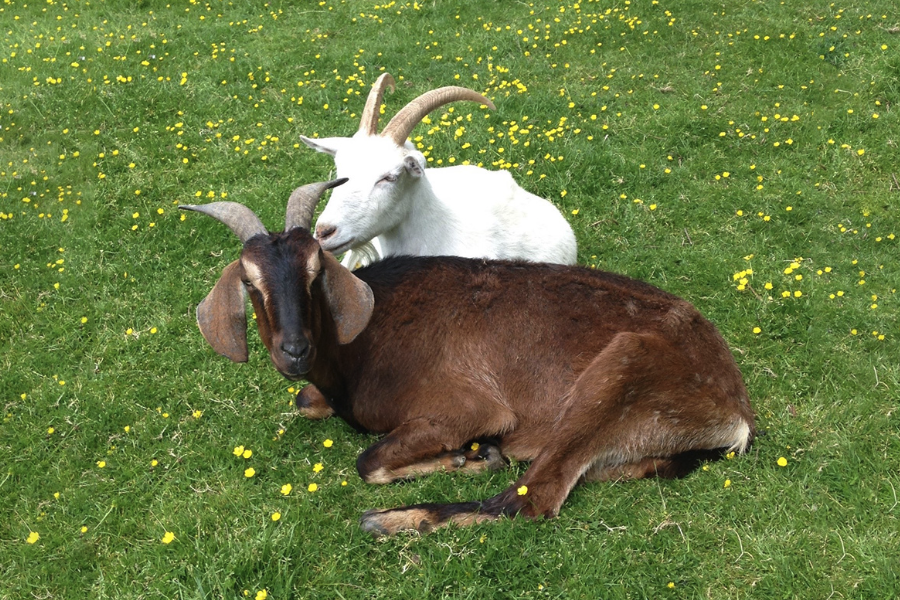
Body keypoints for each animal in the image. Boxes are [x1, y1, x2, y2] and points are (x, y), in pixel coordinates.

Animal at [181, 180, 752, 536]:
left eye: (315, 270)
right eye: (249, 281)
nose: (295, 350)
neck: (359, 347)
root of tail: (737, 410)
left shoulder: (468, 408)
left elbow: (368, 460)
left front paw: (466, 457)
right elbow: (307, 401)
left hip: (620, 371)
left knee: (528, 501)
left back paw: (391, 519)